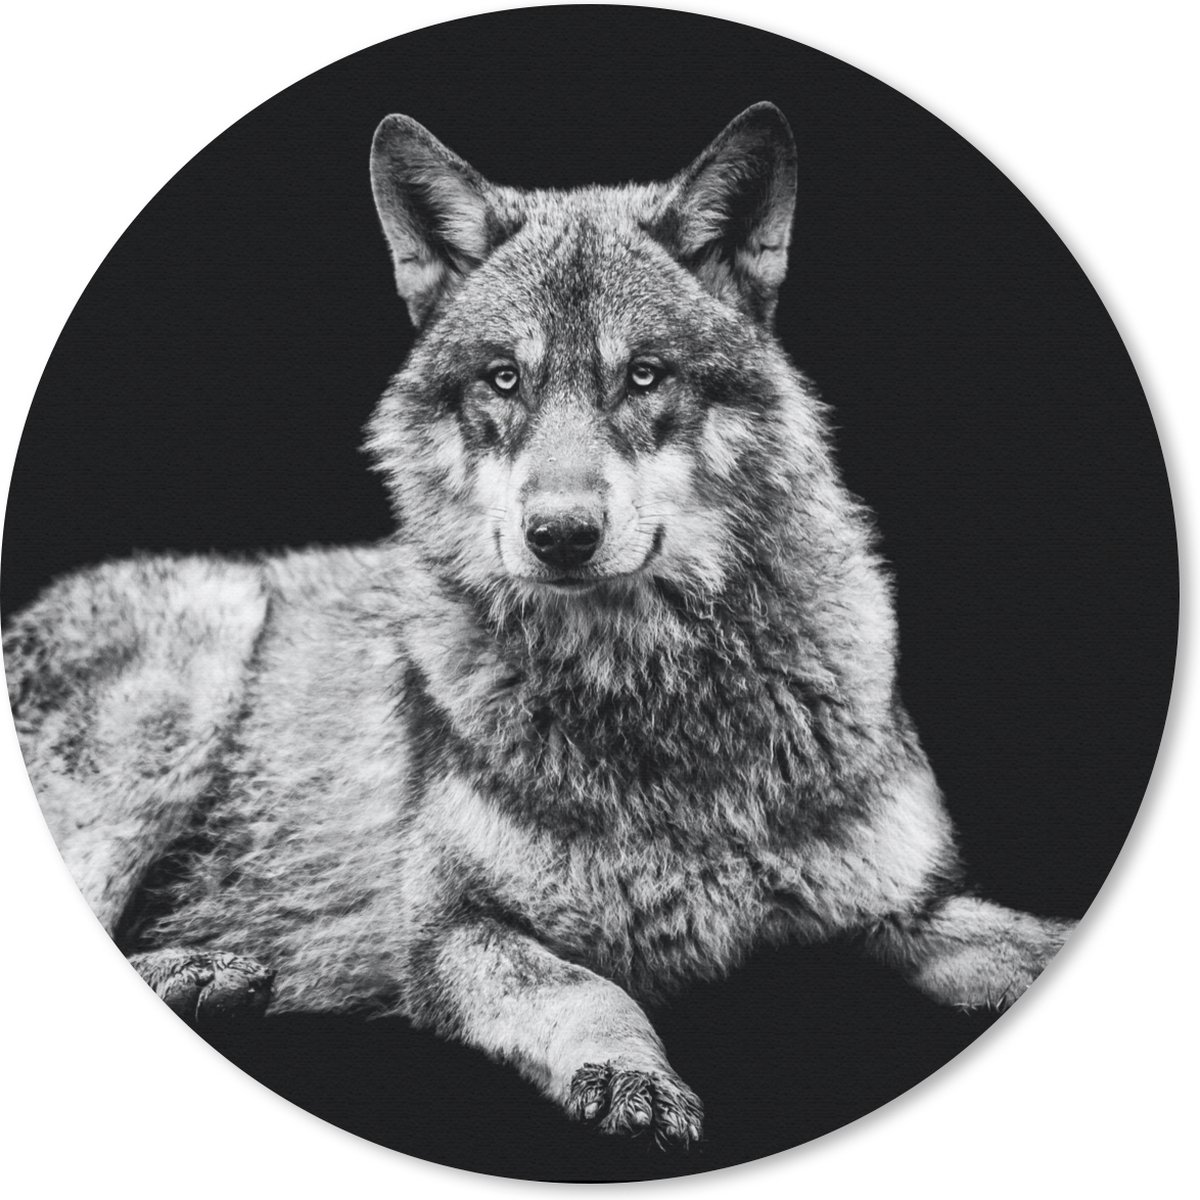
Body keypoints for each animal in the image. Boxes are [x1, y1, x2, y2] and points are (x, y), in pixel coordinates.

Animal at [5, 103, 1075, 1148]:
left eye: (642, 376)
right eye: (504, 380)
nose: (559, 535)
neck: (656, 701)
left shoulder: (908, 909)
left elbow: (1030, 943)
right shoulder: (451, 931)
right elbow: (589, 991)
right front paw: (631, 1078)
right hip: (193, 663)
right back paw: (203, 971)